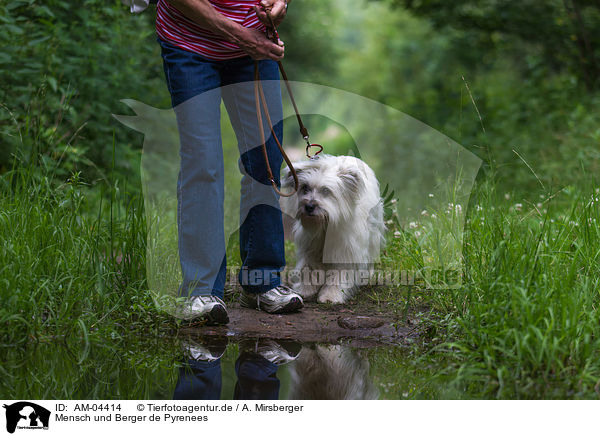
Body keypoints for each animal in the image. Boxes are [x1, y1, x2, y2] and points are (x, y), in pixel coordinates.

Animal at [282, 156, 384, 304]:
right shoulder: (310, 248)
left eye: (326, 191)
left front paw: (331, 296)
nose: (309, 206)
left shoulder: (344, 250)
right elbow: (308, 268)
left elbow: (338, 275)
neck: (325, 225)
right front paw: (305, 290)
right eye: (305, 188)